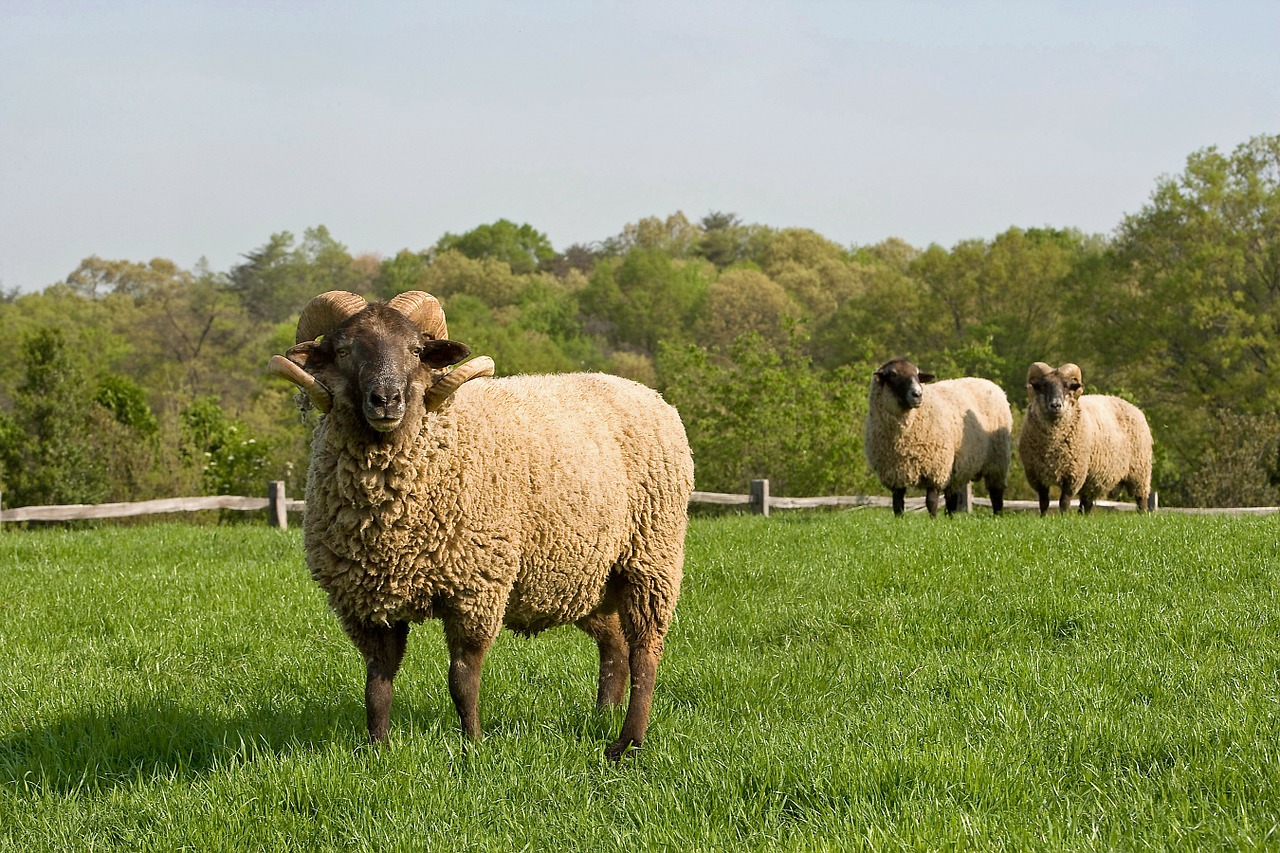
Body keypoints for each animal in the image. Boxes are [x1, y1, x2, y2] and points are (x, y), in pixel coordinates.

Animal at [264, 290, 696, 758]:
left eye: (415, 351)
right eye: (343, 351)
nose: (387, 400)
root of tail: (649, 393)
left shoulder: (477, 586)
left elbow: (462, 679)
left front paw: (473, 746)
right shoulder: (366, 602)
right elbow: (377, 684)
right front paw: (378, 750)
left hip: (650, 557)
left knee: (645, 653)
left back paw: (627, 742)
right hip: (586, 576)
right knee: (614, 643)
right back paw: (604, 715)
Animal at [865, 356, 1013, 514]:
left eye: (917, 374)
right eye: (893, 374)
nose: (918, 394)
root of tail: (989, 383)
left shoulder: (935, 469)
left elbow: (931, 502)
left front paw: (933, 519)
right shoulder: (895, 474)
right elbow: (897, 504)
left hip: (997, 460)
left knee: (996, 493)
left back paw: (998, 514)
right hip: (956, 469)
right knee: (952, 498)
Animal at [1018, 358, 1152, 512]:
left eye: (1067, 386)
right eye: (1043, 386)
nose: (1056, 405)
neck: (1052, 442)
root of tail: (1135, 408)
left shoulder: (1073, 474)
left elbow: (1064, 502)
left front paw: (1063, 516)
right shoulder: (1037, 475)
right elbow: (1044, 502)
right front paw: (1043, 516)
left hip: (1139, 472)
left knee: (1141, 500)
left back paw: (1143, 513)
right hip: (1094, 479)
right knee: (1086, 503)